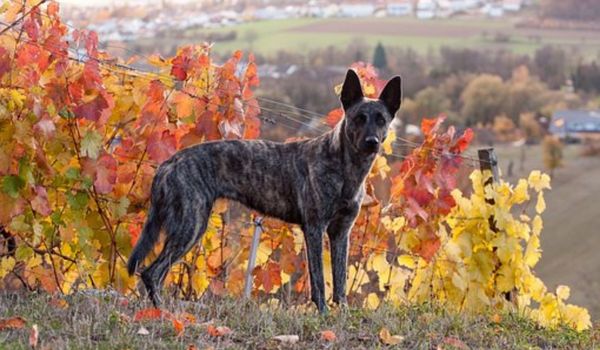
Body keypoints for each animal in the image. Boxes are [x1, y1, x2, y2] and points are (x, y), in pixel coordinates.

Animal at [130, 69, 404, 314]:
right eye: (359, 118)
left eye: (381, 119)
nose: (372, 142)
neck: (344, 167)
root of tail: (169, 163)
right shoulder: (314, 228)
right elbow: (318, 280)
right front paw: (324, 313)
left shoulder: (341, 232)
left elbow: (340, 280)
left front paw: (342, 313)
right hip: (191, 225)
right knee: (151, 272)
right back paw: (164, 312)